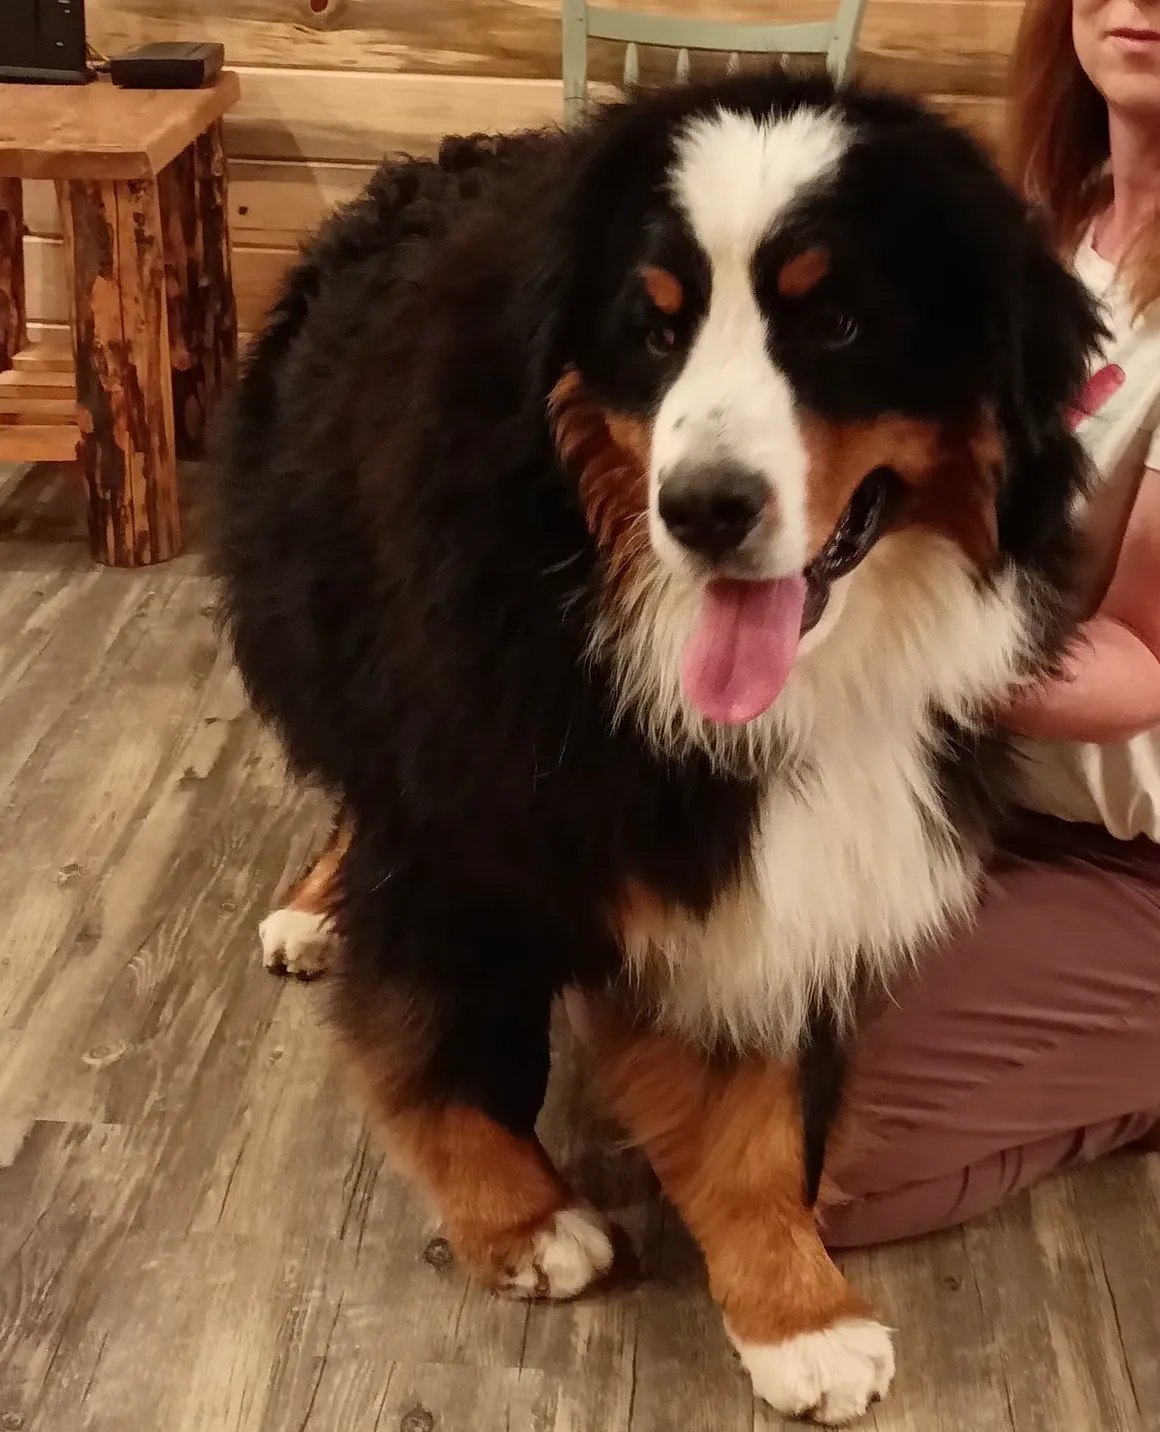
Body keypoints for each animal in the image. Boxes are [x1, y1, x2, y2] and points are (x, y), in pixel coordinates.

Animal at [210, 75, 1105, 1420]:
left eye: (836, 323)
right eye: (652, 330)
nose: (701, 509)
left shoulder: (777, 884)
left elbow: (752, 1115)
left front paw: (794, 1309)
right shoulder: (460, 820)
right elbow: (444, 1041)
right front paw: (522, 1221)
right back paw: (315, 908)